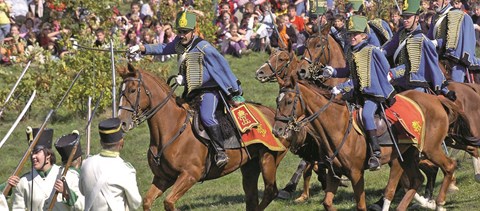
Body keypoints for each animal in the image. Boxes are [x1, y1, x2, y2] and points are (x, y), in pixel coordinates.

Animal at [116, 64, 288, 211]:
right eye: (120, 91)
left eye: (132, 90)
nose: (122, 122)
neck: (171, 130)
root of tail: (274, 114)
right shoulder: (162, 178)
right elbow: (147, 201)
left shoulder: (190, 175)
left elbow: (169, 202)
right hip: (250, 166)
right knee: (251, 197)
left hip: (268, 160)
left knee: (270, 191)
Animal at [274, 76, 458, 211]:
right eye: (277, 101)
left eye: (289, 102)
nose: (277, 130)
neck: (338, 125)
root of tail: (435, 100)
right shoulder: (335, 173)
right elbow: (327, 203)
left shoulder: (356, 174)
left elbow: (361, 205)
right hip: (407, 155)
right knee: (417, 179)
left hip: (430, 149)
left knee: (449, 166)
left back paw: (440, 203)